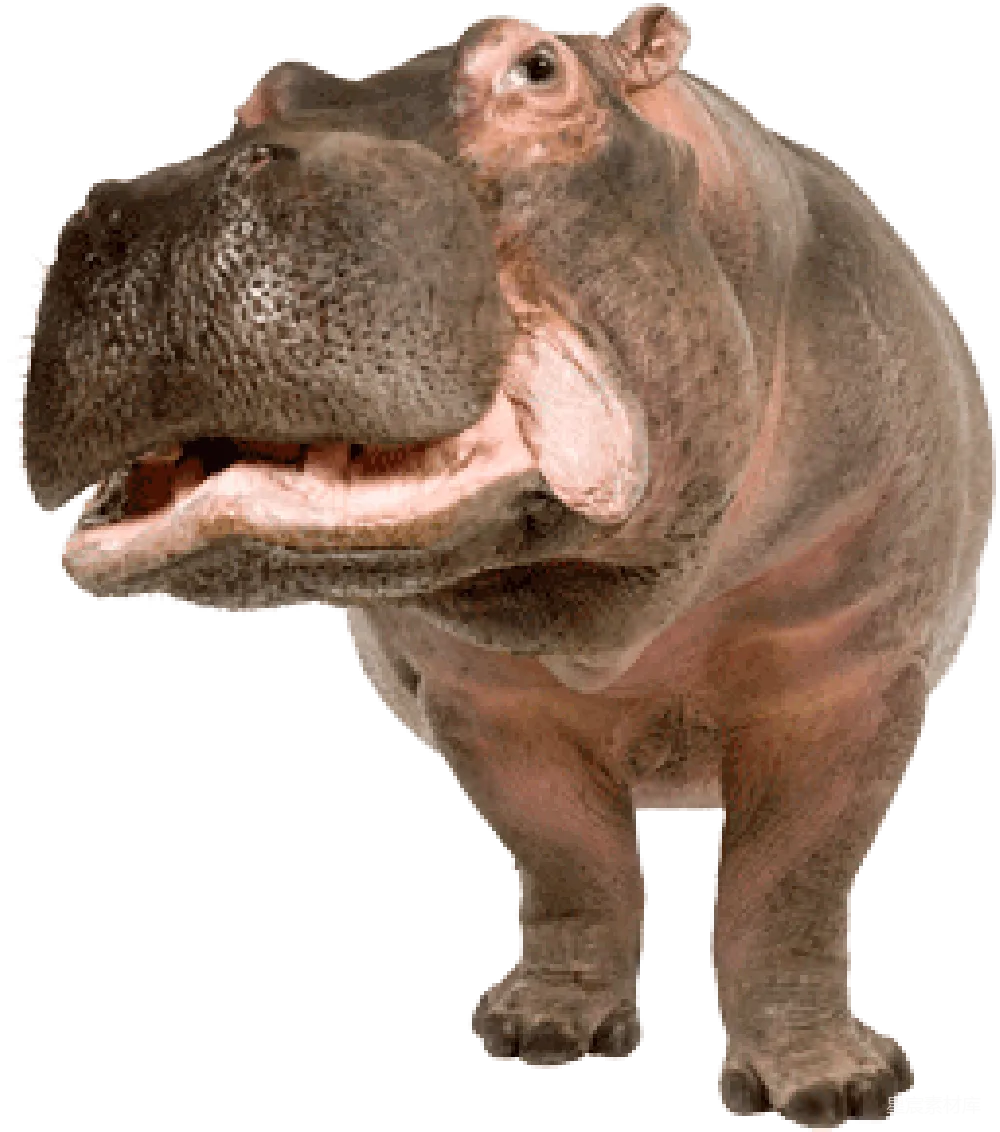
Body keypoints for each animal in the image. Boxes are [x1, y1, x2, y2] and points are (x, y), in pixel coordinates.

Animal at [20, 5, 992, 1123]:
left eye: (537, 66)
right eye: (259, 97)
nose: (157, 202)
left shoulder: (844, 673)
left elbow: (787, 885)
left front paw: (833, 1088)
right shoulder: (488, 697)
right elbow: (569, 855)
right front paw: (544, 1035)